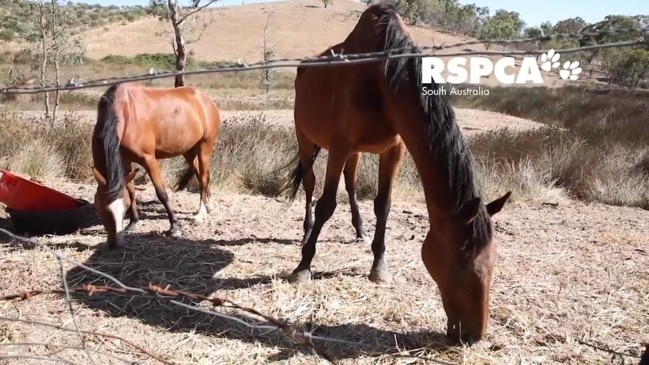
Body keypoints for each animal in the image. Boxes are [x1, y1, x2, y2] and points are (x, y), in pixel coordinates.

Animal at [90, 82, 223, 247]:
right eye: (102, 208)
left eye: (123, 208)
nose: (116, 243)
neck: (125, 112)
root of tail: (206, 100)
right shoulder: (125, 161)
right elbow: (131, 191)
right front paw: (133, 223)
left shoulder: (149, 159)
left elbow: (162, 193)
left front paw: (174, 228)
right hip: (188, 151)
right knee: (200, 175)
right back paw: (209, 206)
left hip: (205, 146)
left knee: (204, 177)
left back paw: (201, 213)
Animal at [284, 3, 512, 344]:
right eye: (462, 267)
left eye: (494, 262)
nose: (474, 335)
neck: (381, 78)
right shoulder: (339, 145)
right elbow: (326, 205)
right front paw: (303, 266)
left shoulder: (393, 150)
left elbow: (383, 205)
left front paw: (379, 267)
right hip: (305, 138)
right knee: (311, 184)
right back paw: (306, 229)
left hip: (354, 153)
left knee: (351, 185)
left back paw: (359, 230)